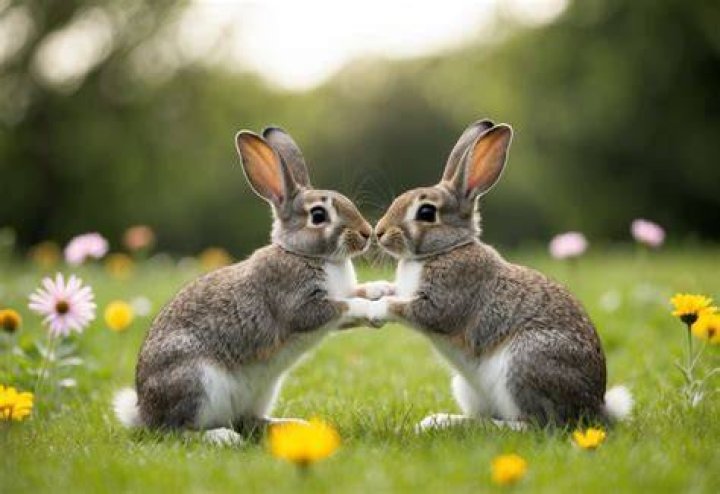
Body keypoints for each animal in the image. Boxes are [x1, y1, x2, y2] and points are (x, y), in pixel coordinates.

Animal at [113, 127, 391, 445]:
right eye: (319, 216)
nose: (367, 233)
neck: (303, 253)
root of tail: (143, 412)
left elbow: (353, 296)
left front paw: (382, 289)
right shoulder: (299, 304)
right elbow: (343, 306)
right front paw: (373, 309)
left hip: (262, 391)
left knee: (249, 422)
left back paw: (295, 427)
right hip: (196, 382)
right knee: (177, 430)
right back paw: (221, 437)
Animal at [365, 119, 633, 430]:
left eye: (426, 212)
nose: (379, 232)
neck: (446, 249)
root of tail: (594, 407)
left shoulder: (445, 301)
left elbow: (407, 309)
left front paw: (372, 310)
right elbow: (393, 293)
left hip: (523, 364)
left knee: (535, 425)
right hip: (467, 387)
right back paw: (440, 420)